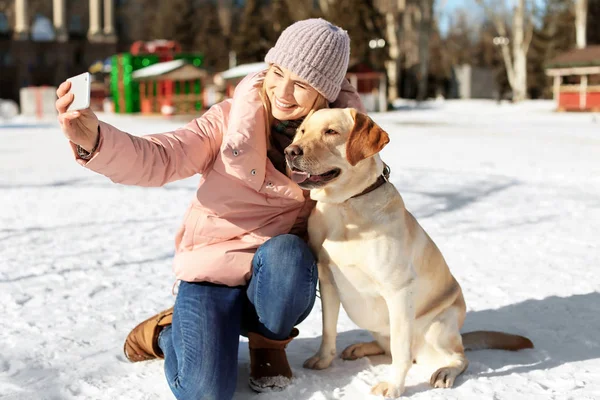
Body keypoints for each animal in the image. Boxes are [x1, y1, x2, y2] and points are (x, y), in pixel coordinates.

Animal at [284, 108, 532, 398]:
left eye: (331, 132)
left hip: (437, 326)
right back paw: (360, 347)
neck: (345, 207)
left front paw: (393, 386)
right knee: (386, 345)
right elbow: (328, 330)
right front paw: (323, 361)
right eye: (302, 131)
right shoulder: (327, 280)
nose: (290, 152)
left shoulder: (398, 291)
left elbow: (400, 350)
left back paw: (444, 372)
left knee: (457, 357)